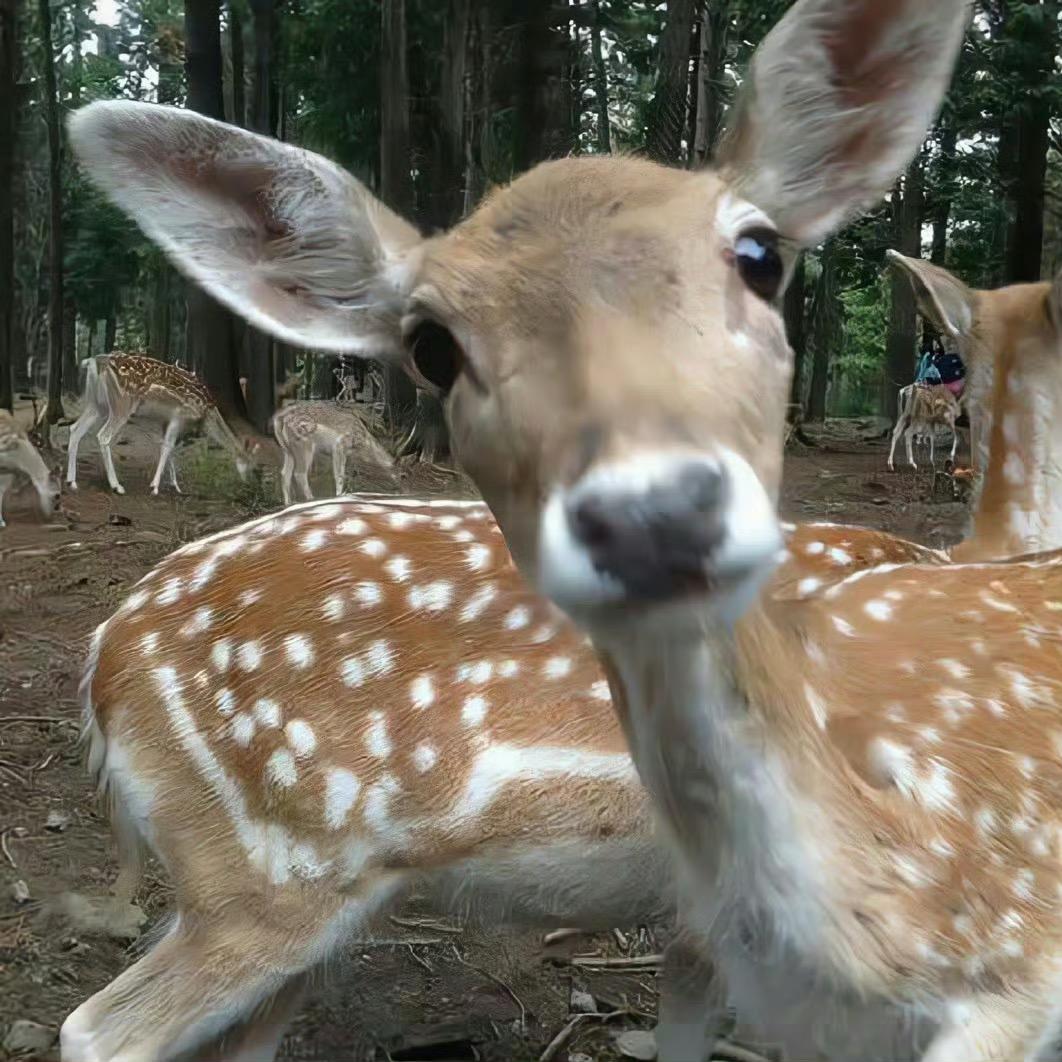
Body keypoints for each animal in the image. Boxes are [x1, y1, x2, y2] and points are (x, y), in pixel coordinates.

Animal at [67, 353, 255, 496]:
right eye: (254, 467)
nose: (250, 486)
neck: (206, 413)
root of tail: (93, 361)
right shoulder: (179, 415)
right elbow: (168, 447)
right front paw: (155, 487)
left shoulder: (165, 420)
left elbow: (169, 447)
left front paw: (175, 486)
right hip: (122, 404)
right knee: (103, 436)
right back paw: (117, 486)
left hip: (97, 404)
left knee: (75, 429)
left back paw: (71, 481)